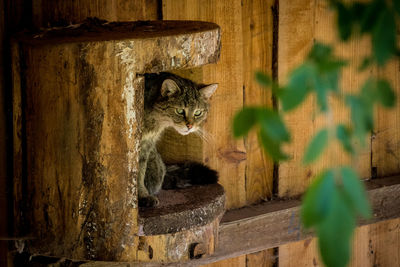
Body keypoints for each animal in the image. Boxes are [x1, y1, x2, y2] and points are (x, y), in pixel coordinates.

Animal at [138, 73, 219, 209]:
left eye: (198, 113)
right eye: (180, 111)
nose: (190, 126)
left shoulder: (146, 145)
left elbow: (139, 171)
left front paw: (142, 195)